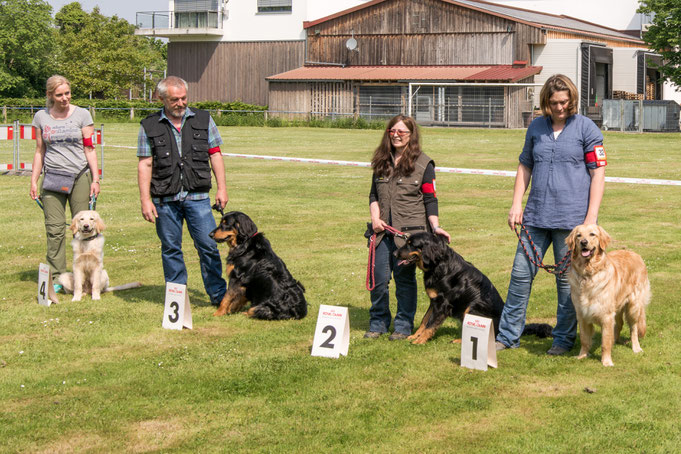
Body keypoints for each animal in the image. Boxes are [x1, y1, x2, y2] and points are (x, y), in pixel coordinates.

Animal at [396, 234, 548, 344]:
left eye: (410, 244)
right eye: (407, 242)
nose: (394, 253)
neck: (438, 264)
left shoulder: (442, 303)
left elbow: (430, 324)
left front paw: (420, 340)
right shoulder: (434, 301)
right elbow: (424, 320)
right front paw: (415, 336)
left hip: (472, 307)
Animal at [564, 225, 652, 368]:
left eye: (592, 234)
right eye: (578, 235)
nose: (583, 242)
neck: (588, 274)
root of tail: (635, 254)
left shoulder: (606, 316)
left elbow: (605, 342)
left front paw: (606, 361)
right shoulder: (582, 314)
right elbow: (584, 339)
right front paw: (582, 356)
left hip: (633, 306)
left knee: (633, 328)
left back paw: (636, 347)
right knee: (619, 324)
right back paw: (615, 341)